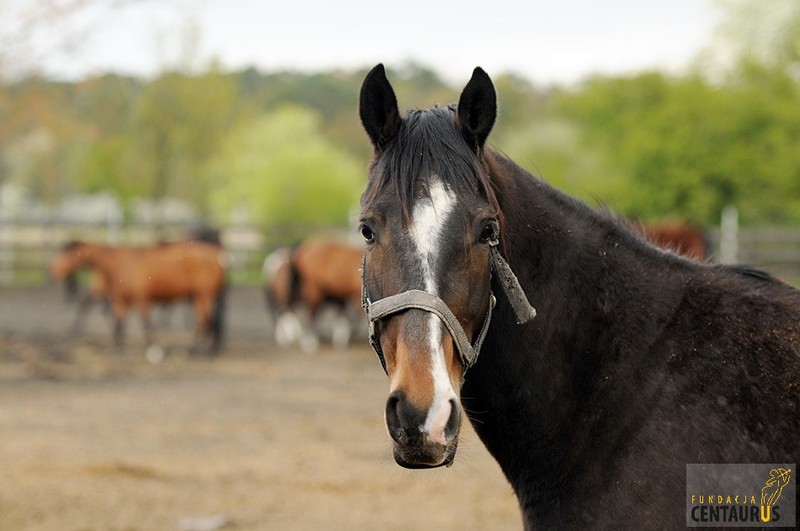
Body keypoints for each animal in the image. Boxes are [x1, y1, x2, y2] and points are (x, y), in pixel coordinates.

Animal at [50, 240, 227, 356]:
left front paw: (152, 348)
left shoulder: (142, 300)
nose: (54, 269)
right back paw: (205, 349)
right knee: (207, 321)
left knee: (204, 321)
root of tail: (218, 256)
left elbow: (146, 324)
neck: (119, 264)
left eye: (70, 254)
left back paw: (197, 350)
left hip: (203, 296)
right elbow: (119, 325)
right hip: (200, 297)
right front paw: (119, 349)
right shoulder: (121, 301)